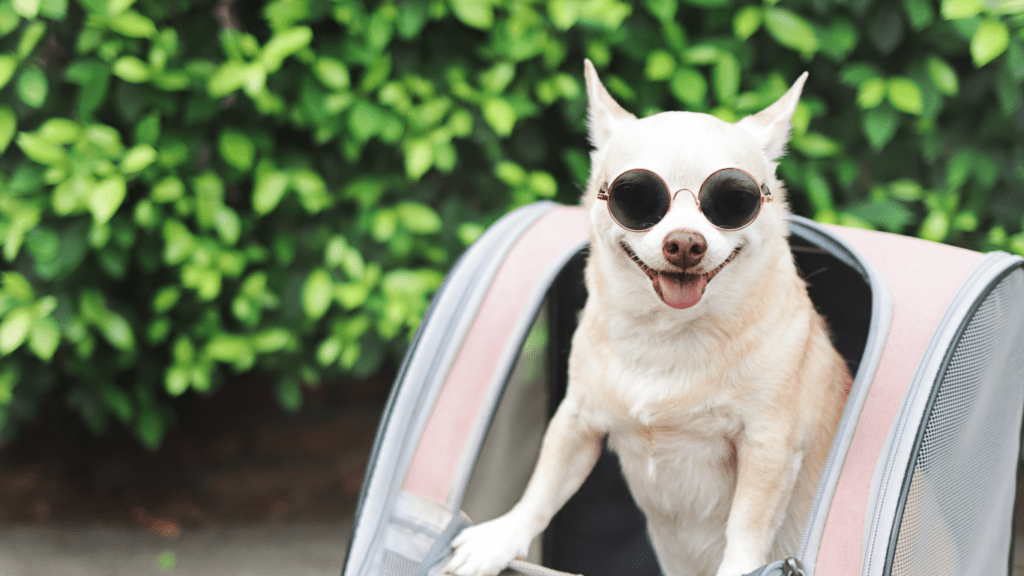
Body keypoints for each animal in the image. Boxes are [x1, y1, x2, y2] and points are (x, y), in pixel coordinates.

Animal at [444, 59, 851, 576]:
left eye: (735, 202)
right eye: (634, 197)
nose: (685, 242)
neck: (667, 332)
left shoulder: (768, 449)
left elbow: (745, 529)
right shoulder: (576, 421)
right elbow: (543, 487)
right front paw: (501, 537)